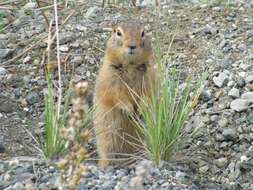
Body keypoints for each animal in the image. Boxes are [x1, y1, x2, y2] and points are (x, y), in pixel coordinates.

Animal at [93, 22, 156, 167]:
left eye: (143, 33)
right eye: (118, 32)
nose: (132, 45)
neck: (131, 65)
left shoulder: (150, 76)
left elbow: (148, 93)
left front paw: (141, 109)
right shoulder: (110, 77)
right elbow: (116, 95)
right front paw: (128, 109)